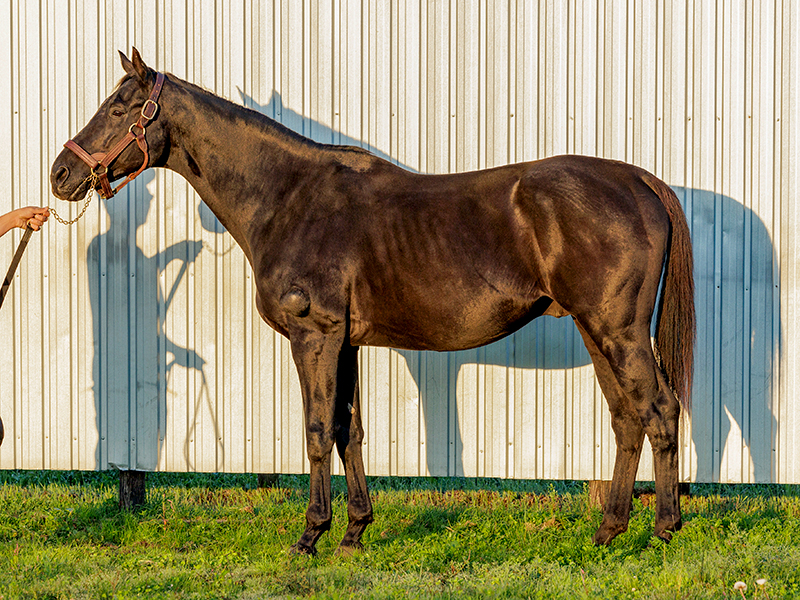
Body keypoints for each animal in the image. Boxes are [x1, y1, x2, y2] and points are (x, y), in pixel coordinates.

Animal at [50, 50, 692, 552]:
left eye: (119, 108)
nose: (60, 174)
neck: (289, 196)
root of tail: (641, 181)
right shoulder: (346, 343)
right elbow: (347, 430)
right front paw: (355, 532)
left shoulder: (315, 336)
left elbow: (315, 429)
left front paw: (311, 534)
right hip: (596, 331)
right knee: (627, 419)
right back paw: (609, 530)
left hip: (620, 332)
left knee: (660, 411)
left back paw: (664, 528)